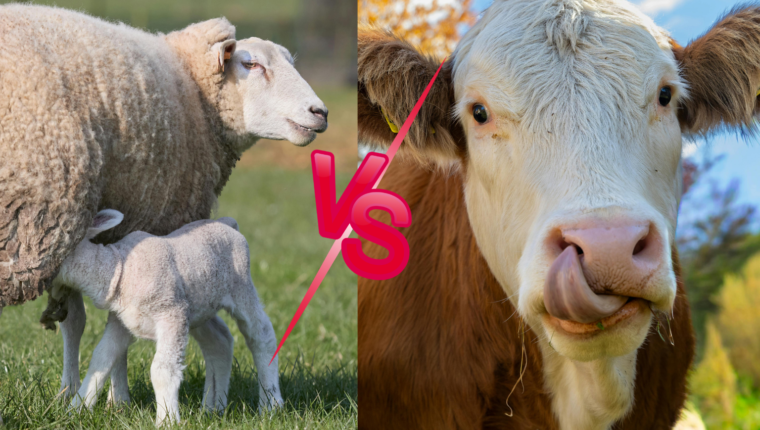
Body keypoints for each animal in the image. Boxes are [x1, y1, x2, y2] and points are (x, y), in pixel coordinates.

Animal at [0, 4, 326, 397]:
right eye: (251, 64)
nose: (320, 112)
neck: (193, 90)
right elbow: (90, 320)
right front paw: (94, 395)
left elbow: (94, 321)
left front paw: (104, 396)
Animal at [52, 209, 283, 425]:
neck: (120, 269)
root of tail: (227, 223)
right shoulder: (121, 322)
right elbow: (101, 359)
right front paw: (76, 409)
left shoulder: (172, 313)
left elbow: (162, 369)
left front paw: (167, 420)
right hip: (200, 306)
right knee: (219, 342)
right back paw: (212, 407)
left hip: (241, 286)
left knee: (261, 336)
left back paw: (270, 405)